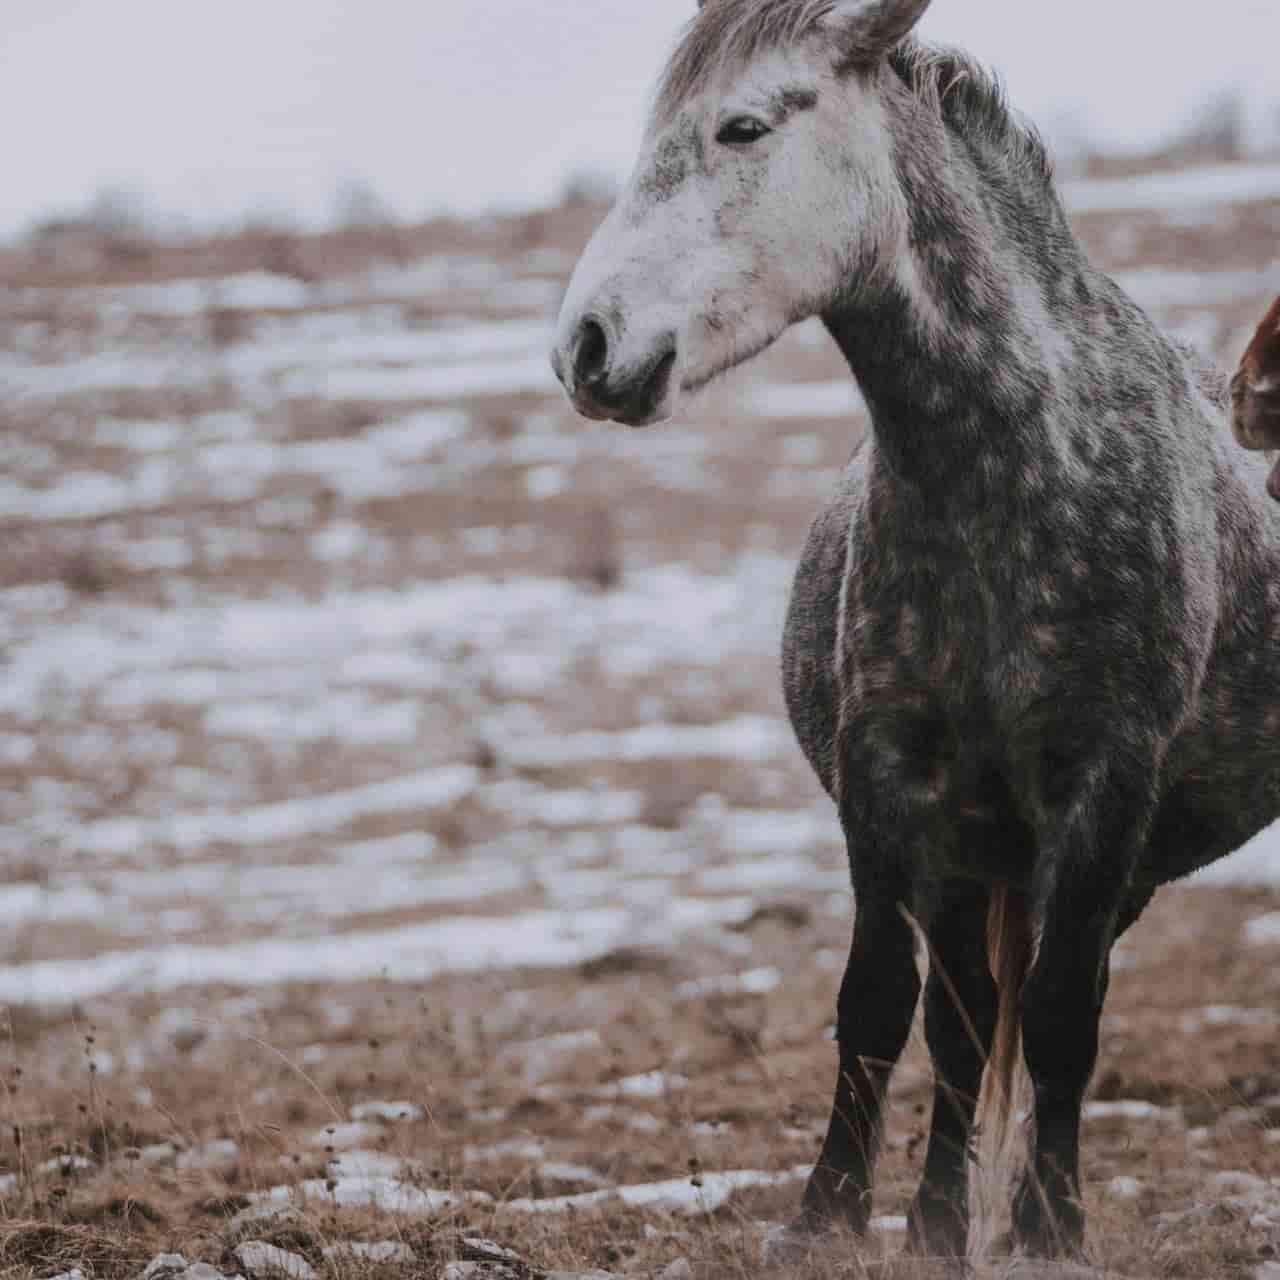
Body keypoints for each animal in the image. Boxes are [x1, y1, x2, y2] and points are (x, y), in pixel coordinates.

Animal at [551, 0, 1280, 1261]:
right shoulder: (886, 780)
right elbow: (882, 1002)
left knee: (1048, 1005)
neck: (1010, 471)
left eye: (743, 127)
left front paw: (1049, 1232)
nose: (585, 345)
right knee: (963, 1015)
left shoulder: (1101, 787)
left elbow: (1059, 1018)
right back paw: (940, 1218)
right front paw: (830, 1218)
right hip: (975, 852)